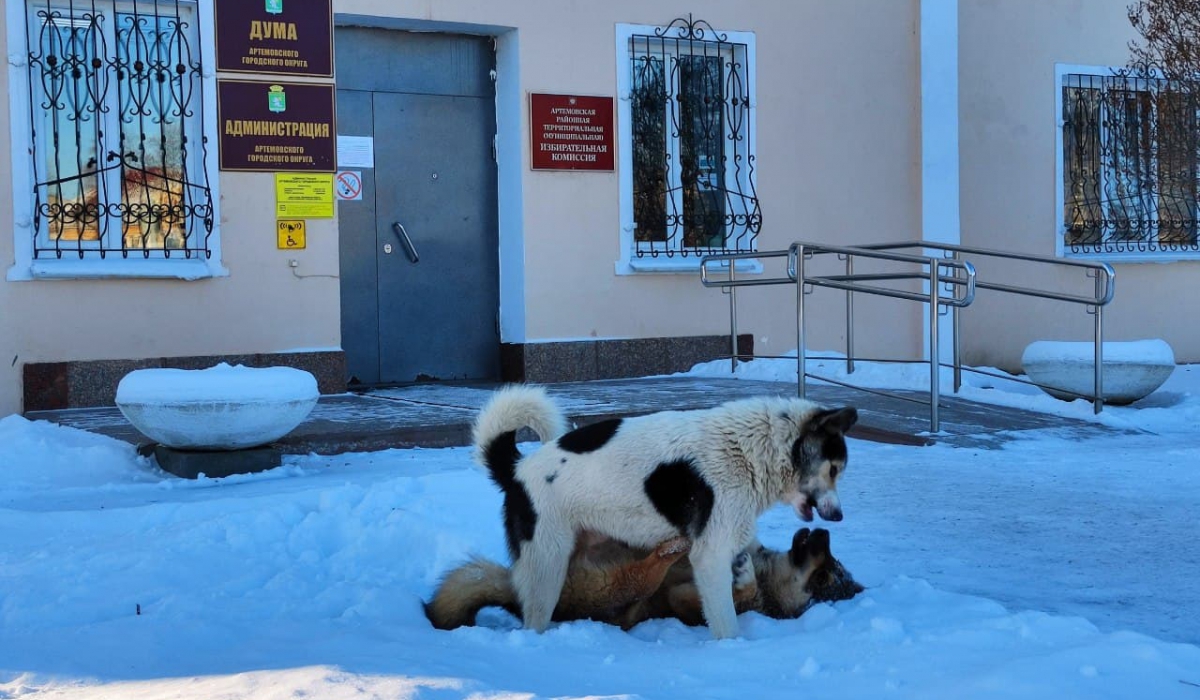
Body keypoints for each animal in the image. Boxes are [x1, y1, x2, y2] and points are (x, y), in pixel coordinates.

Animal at [472, 386, 859, 638]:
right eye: (834, 469)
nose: (839, 518)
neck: (753, 450)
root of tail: (517, 468)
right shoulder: (710, 557)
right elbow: (726, 621)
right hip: (548, 567)